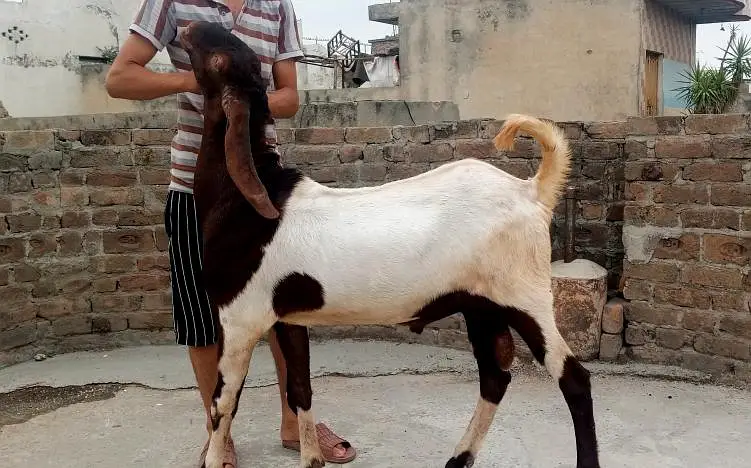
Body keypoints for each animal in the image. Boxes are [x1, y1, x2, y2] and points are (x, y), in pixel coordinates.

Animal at [180, 21, 600, 468]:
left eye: (218, 57)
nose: (188, 27)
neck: (249, 200)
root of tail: (532, 191)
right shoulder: (288, 318)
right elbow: (300, 391)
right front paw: (312, 459)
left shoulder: (240, 317)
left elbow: (223, 404)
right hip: (481, 303)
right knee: (495, 374)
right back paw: (458, 458)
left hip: (525, 297)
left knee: (572, 378)